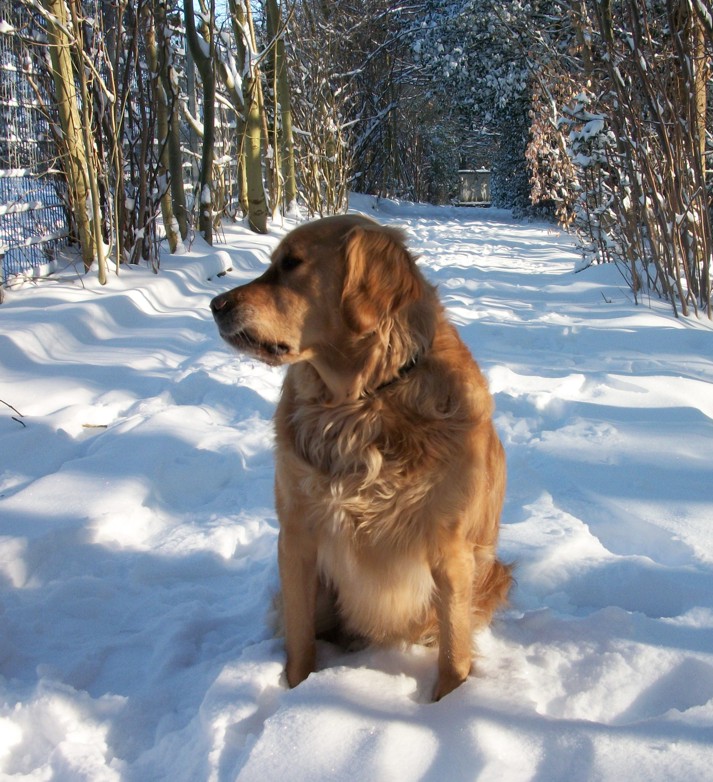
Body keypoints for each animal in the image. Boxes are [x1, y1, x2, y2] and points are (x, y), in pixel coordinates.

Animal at [209, 216, 508, 704]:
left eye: (291, 263)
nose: (215, 304)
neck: (360, 403)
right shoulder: (296, 536)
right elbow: (299, 642)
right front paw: (294, 692)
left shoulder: (451, 552)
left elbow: (453, 653)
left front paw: (448, 707)